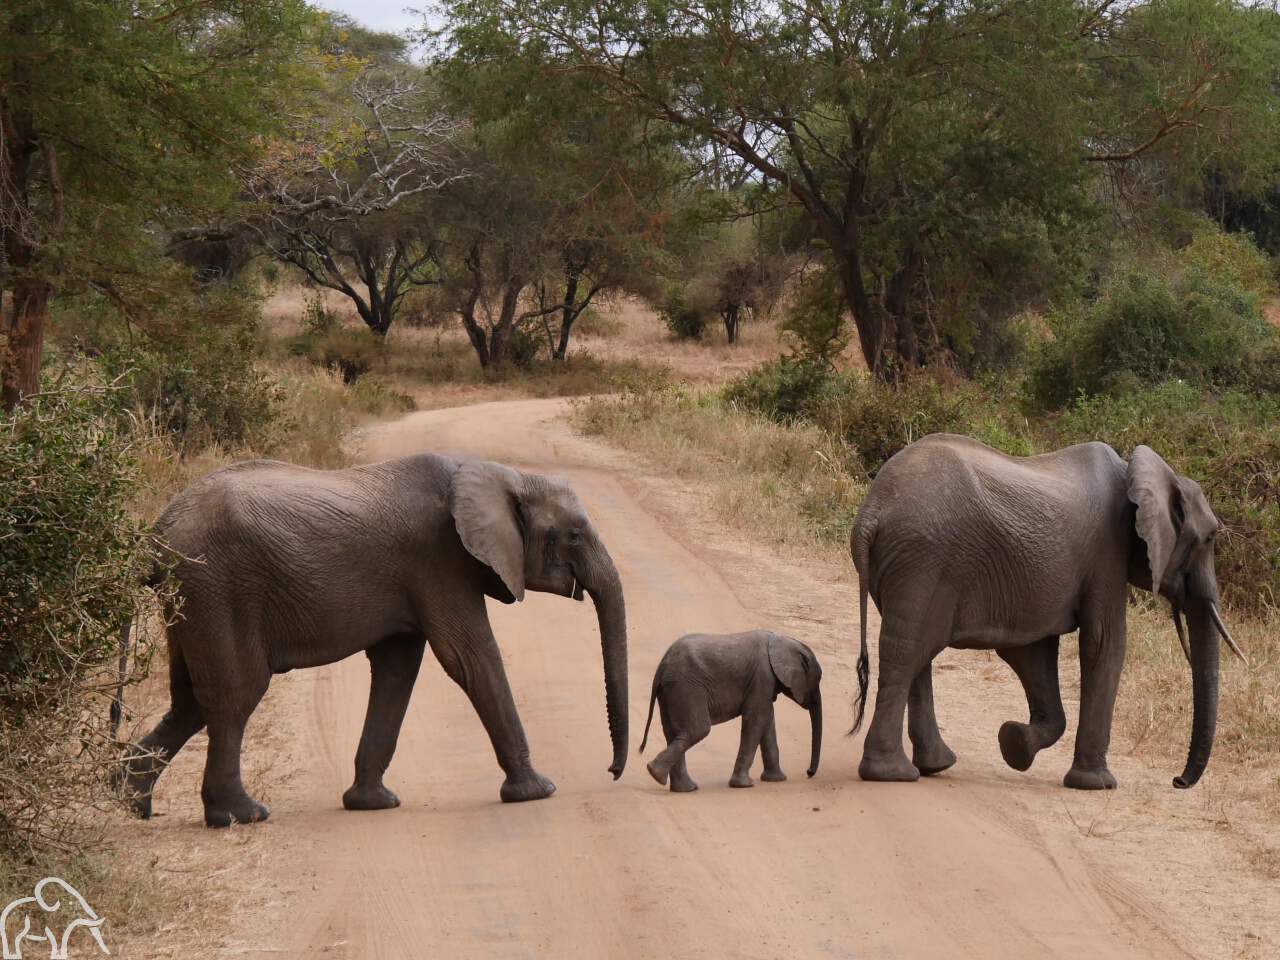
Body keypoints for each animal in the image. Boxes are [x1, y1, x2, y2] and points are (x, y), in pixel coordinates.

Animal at [117, 455, 627, 829]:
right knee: (234, 695)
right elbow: (470, 659)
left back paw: (130, 803)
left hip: (191, 598)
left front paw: (373, 803)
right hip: (217, 588)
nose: (613, 772)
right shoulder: (439, 560)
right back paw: (241, 816)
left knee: (188, 700)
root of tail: (156, 536)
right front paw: (537, 791)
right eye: (574, 534)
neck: (505, 474)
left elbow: (398, 668)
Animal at [637, 627, 819, 793]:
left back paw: (678, 786)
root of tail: (661, 668)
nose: (808, 773)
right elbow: (757, 720)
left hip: (670, 692)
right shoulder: (762, 677)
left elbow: (767, 721)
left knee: (674, 733)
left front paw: (777, 779)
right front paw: (744, 785)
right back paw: (656, 774)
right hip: (686, 687)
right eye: (817, 681)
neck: (782, 640)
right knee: (697, 730)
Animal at [844, 440, 1244, 793]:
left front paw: (1013, 743)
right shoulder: (1107, 552)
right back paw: (892, 774)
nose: (1178, 782)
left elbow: (1032, 652)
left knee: (916, 651)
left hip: (909, 566)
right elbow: (1105, 643)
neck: (1139, 471)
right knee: (907, 653)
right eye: (1210, 538)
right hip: (924, 559)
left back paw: (934, 765)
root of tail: (871, 513)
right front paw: (1097, 784)